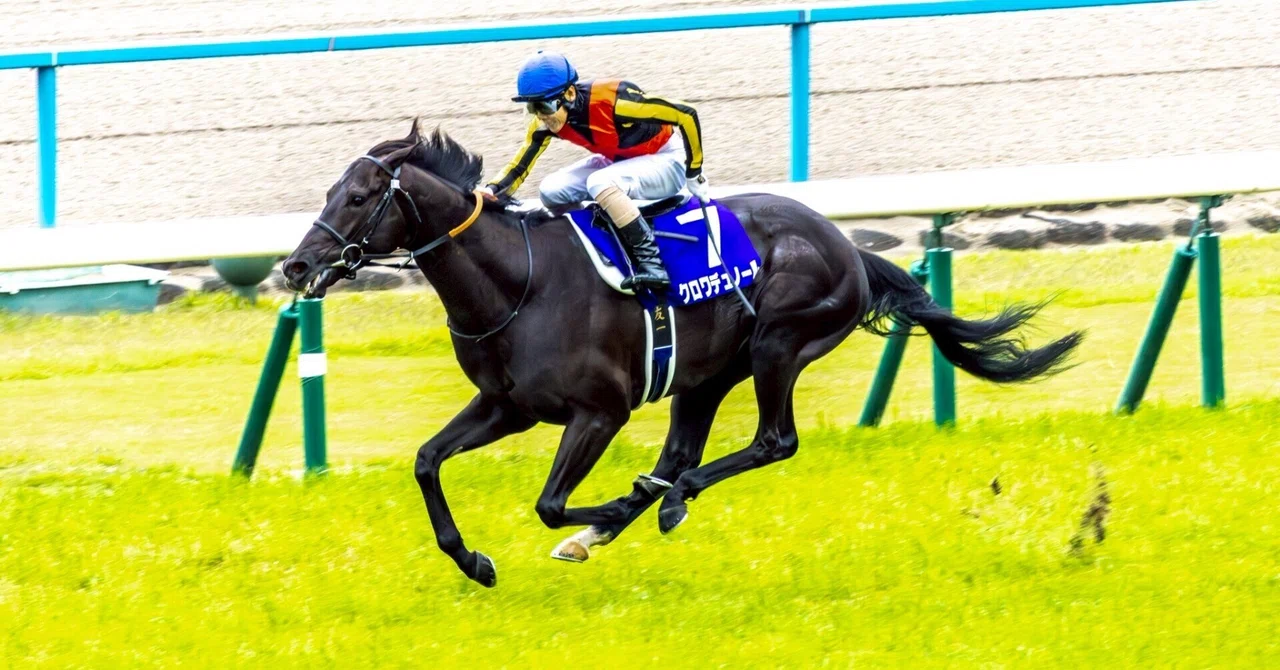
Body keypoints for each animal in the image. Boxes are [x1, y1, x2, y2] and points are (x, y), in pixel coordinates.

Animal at [282, 119, 1083, 588]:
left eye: (360, 196)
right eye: (328, 190)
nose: (295, 266)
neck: (518, 279)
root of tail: (846, 245)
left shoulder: (598, 411)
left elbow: (548, 503)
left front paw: (609, 505)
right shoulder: (507, 405)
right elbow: (426, 461)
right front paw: (475, 561)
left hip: (780, 343)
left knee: (771, 441)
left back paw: (655, 502)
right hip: (706, 374)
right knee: (682, 452)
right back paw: (633, 512)